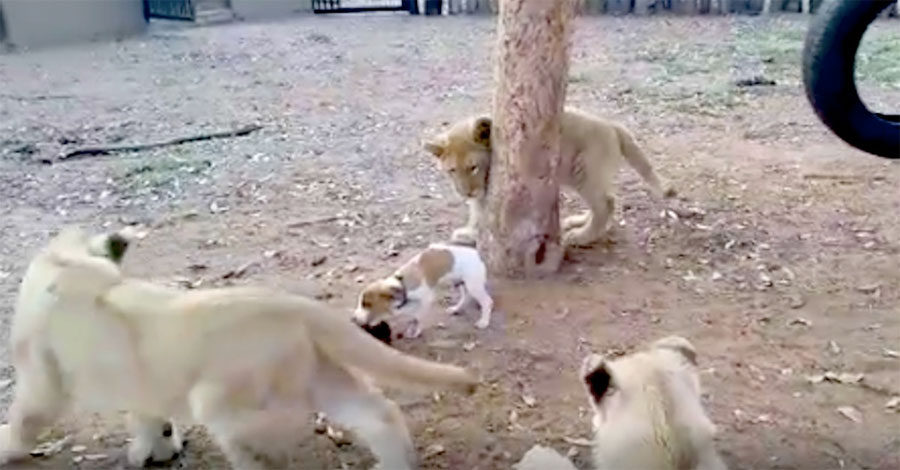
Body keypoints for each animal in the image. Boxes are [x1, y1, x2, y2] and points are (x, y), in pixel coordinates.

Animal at [354, 242, 492, 338]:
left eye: (366, 304)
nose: (353, 318)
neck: (402, 284)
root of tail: (477, 254)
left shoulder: (425, 300)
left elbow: (418, 318)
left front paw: (415, 332)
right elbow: (412, 317)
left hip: (474, 285)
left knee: (487, 302)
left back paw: (484, 322)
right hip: (462, 284)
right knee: (466, 297)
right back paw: (456, 309)